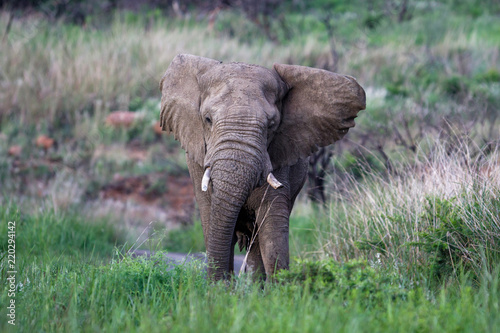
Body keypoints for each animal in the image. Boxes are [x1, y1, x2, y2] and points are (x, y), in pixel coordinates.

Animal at [160, 54, 368, 280]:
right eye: (207, 119)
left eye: (271, 125)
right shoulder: (198, 161)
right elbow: (211, 220)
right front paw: (219, 288)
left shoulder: (280, 156)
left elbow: (272, 227)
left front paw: (279, 287)